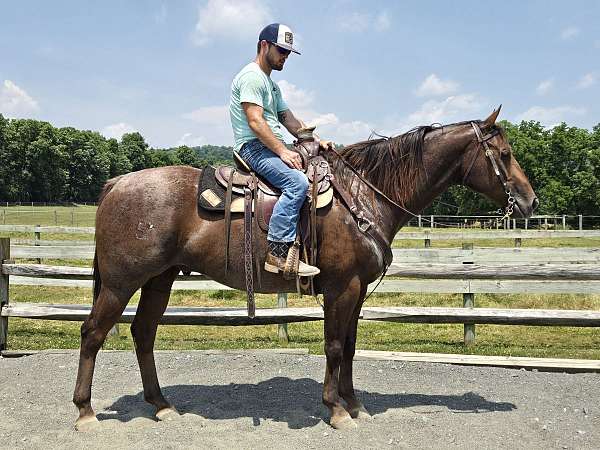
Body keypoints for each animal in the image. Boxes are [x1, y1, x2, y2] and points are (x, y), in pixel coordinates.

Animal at [71, 107, 540, 430]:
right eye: (504, 153)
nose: (531, 201)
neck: (365, 196)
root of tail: (117, 183)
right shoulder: (341, 289)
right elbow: (332, 346)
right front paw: (336, 410)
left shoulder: (357, 291)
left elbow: (349, 347)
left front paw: (354, 404)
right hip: (120, 283)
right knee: (93, 333)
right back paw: (85, 411)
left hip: (159, 280)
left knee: (143, 333)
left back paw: (162, 405)